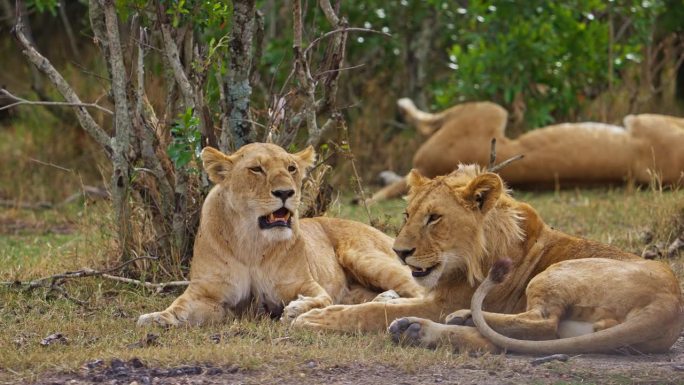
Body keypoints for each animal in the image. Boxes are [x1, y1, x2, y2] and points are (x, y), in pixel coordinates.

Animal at [137, 142, 424, 326]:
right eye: (256, 169)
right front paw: (156, 318)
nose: (286, 192)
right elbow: (180, 306)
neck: (251, 241)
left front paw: (295, 309)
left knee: (418, 292)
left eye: (291, 168)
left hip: (365, 258)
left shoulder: (308, 286)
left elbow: (319, 299)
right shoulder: (208, 294)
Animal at [296, 166, 684, 354]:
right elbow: (385, 301)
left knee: (541, 323)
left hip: (557, 273)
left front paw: (318, 318)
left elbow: (374, 310)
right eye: (407, 215)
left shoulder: (440, 302)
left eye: (434, 218)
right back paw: (418, 331)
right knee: (527, 336)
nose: (399, 252)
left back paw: (449, 320)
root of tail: (670, 301)